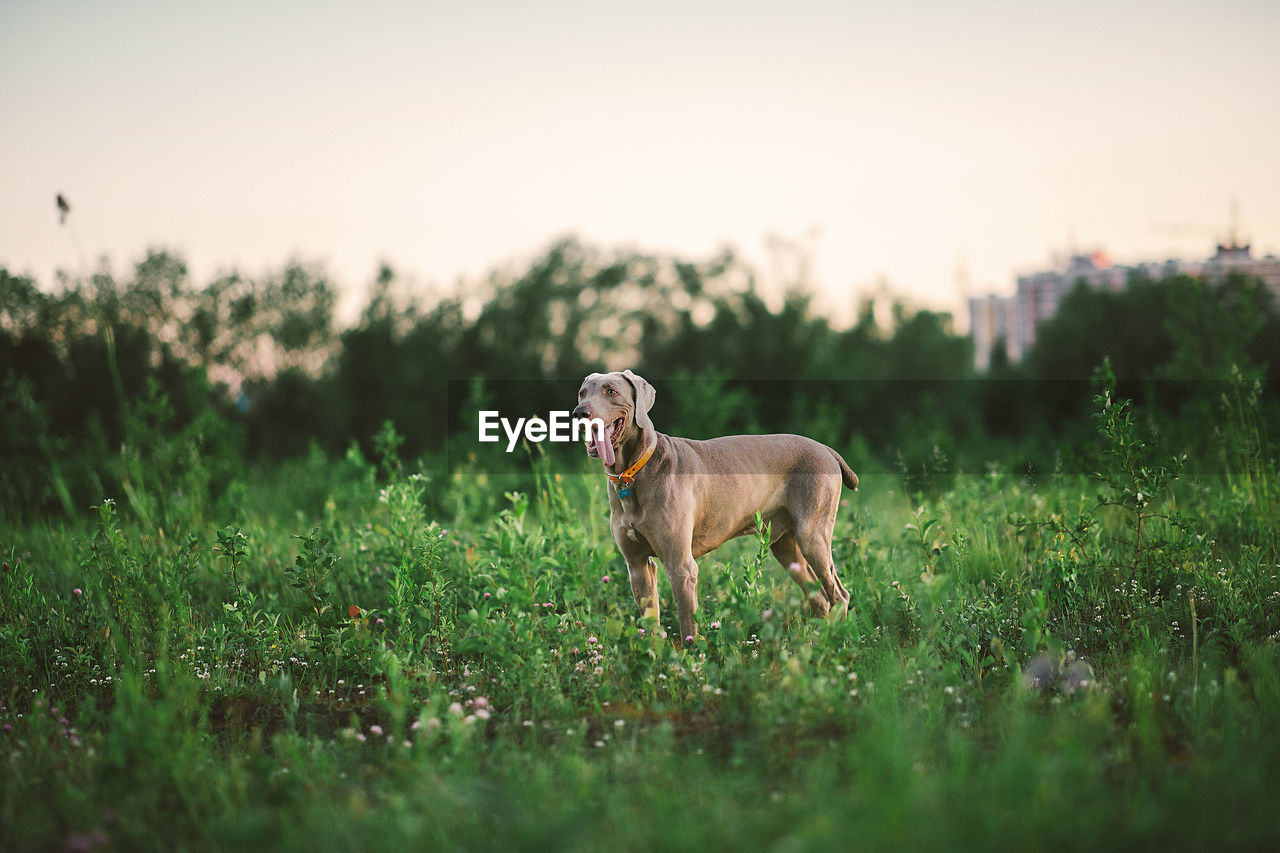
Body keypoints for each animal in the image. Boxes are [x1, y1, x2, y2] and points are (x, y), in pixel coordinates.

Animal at [573, 368, 860, 640]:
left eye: (610, 391)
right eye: (582, 393)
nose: (579, 413)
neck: (631, 474)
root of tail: (826, 449)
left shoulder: (681, 566)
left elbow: (688, 626)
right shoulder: (637, 565)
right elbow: (650, 622)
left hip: (812, 534)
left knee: (839, 594)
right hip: (785, 545)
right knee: (819, 596)